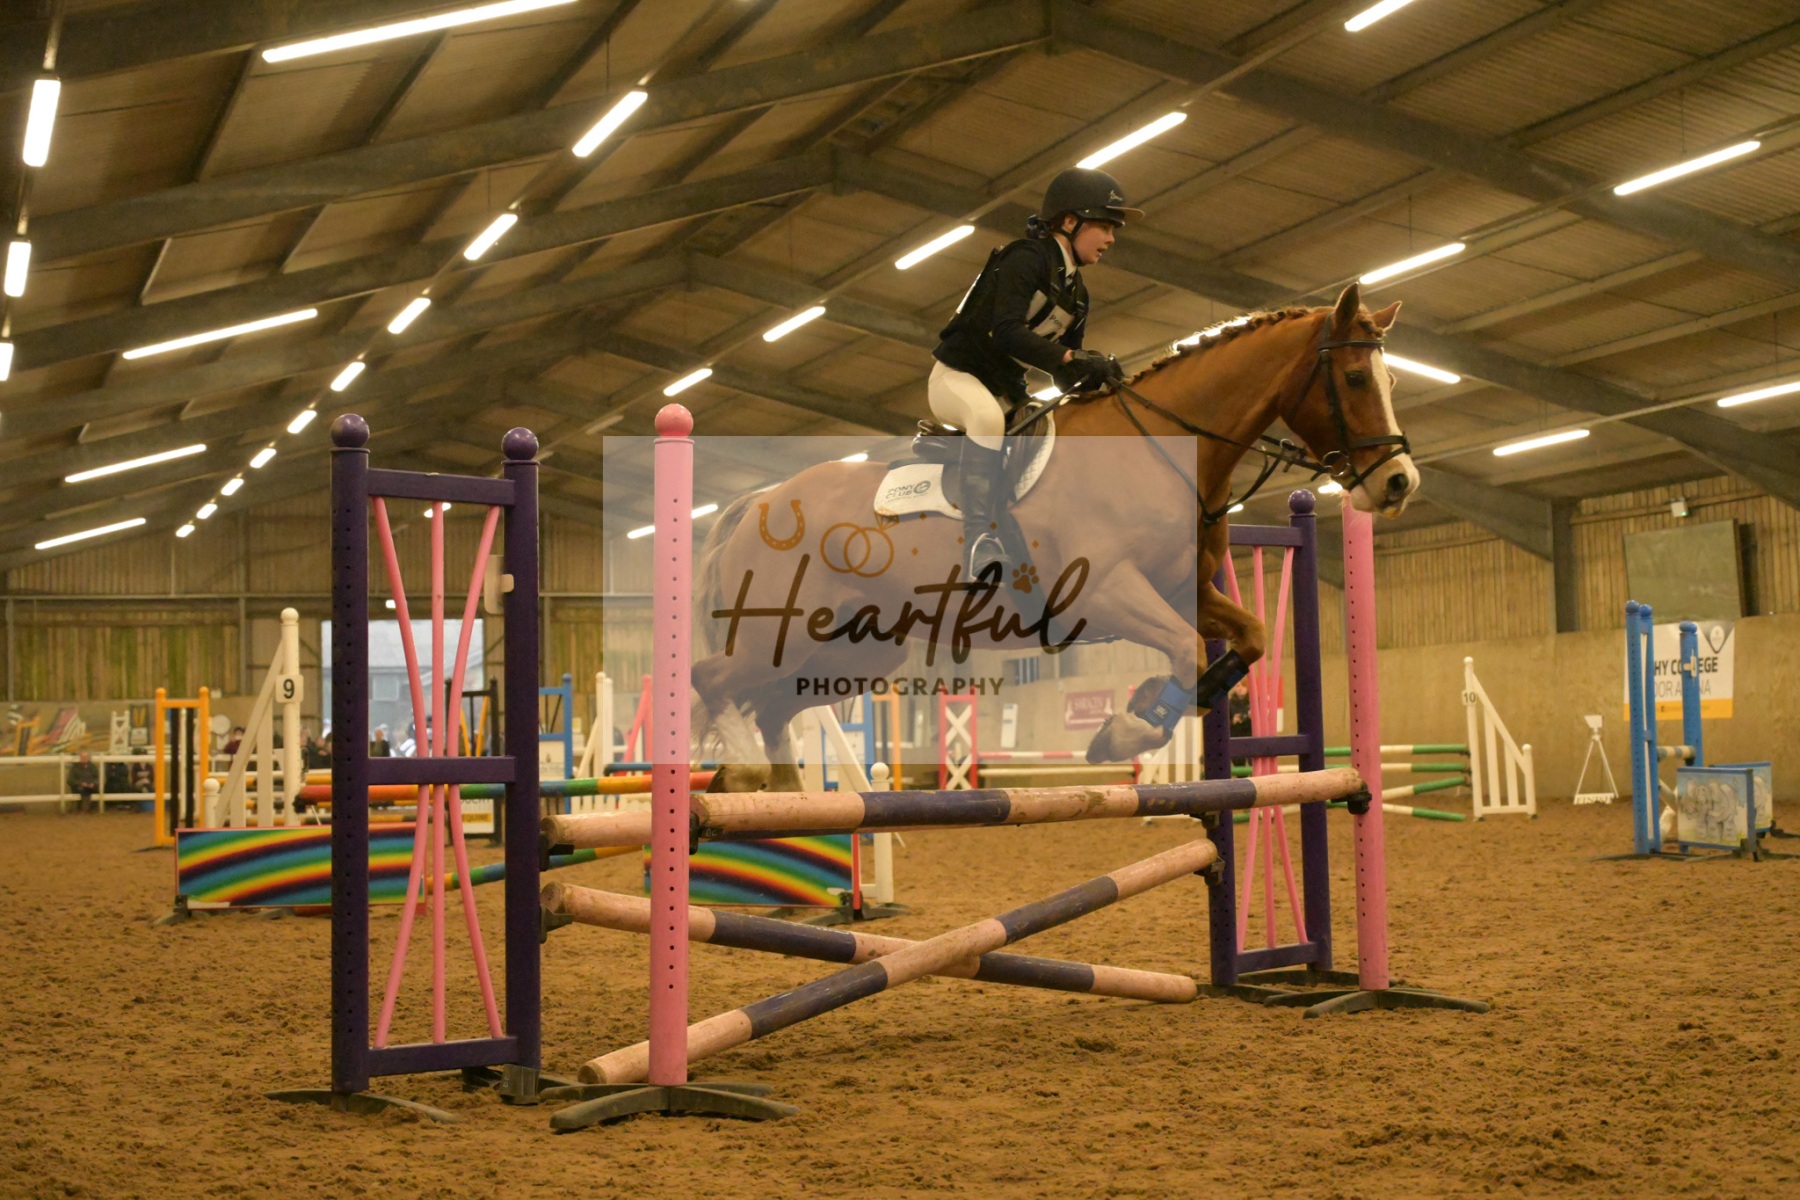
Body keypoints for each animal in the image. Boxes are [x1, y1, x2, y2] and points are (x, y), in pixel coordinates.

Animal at [690, 282, 1416, 792]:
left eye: (1390, 380)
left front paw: (1141, 715)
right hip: (783, 630)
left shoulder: (1184, 591)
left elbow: (1248, 640)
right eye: (1355, 379)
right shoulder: (1105, 592)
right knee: (714, 679)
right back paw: (746, 773)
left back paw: (784, 795)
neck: (1160, 449)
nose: (1398, 483)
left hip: (854, 651)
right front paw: (1126, 730)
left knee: (772, 707)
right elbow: (1185, 649)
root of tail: (760, 501)